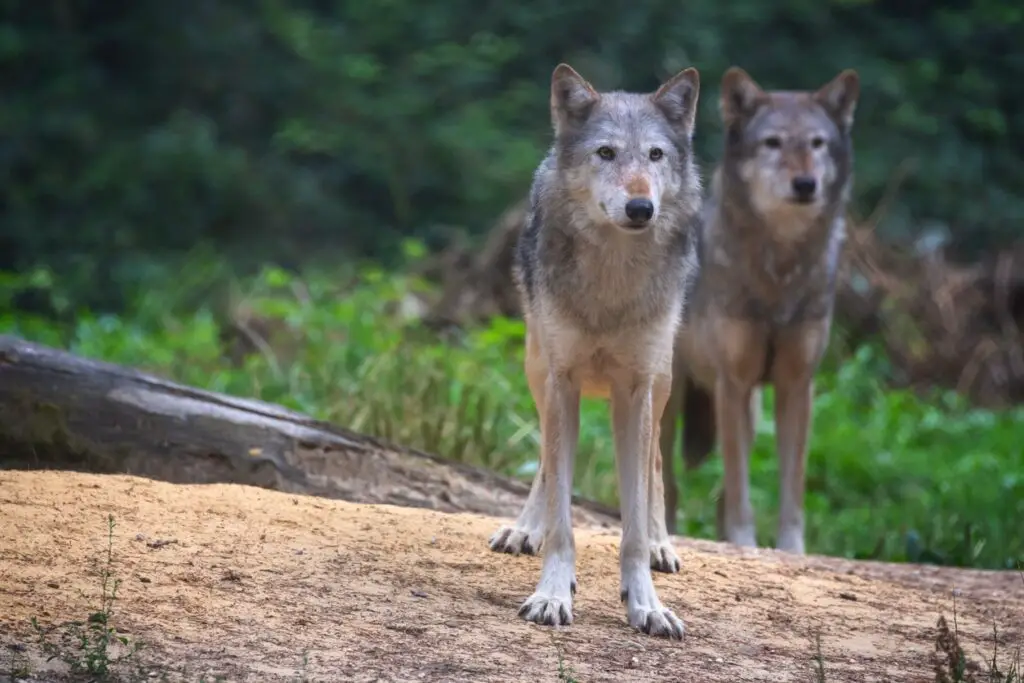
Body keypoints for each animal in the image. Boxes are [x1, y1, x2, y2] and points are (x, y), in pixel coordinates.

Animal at [487, 60, 704, 643]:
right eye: (606, 152)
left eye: (655, 155)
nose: (640, 207)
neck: (612, 276)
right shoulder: (563, 380)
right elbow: (563, 515)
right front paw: (552, 593)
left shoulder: (637, 388)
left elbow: (632, 524)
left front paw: (647, 604)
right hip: (539, 370)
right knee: (546, 461)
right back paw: (524, 530)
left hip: (662, 382)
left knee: (655, 464)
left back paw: (662, 545)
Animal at [655, 65, 856, 557]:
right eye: (773, 143)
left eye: (817, 143)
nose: (805, 184)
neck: (778, 275)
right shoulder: (733, 381)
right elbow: (739, 482)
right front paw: (745, 540)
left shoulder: (795, 386)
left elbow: (790, 485)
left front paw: (789, 550)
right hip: (673, 395)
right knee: (664, 475)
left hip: (747, 408)